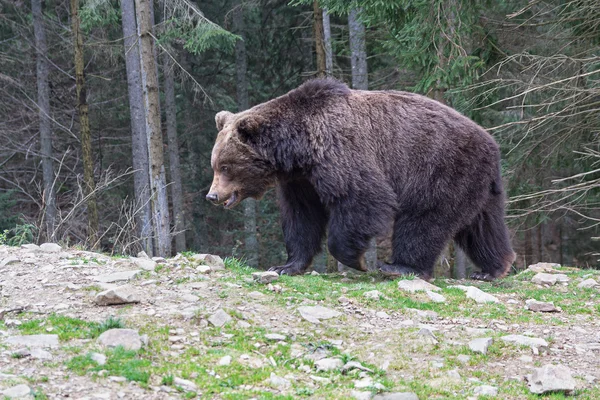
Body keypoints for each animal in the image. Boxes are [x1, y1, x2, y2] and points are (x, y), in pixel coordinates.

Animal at [207, 76, 516, 280]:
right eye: (215, 164)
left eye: (225, 166)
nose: (212, 195)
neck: (299, 149)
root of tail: (491, 142)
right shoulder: (301, 182)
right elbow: (302, 218)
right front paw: (286, 265)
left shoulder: (340, 153)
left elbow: (363, 198)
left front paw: (356, 260)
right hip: (477, 183)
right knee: (483, 226)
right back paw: (492, 268)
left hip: (441, 167)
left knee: (425, 218)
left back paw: (399, 266)